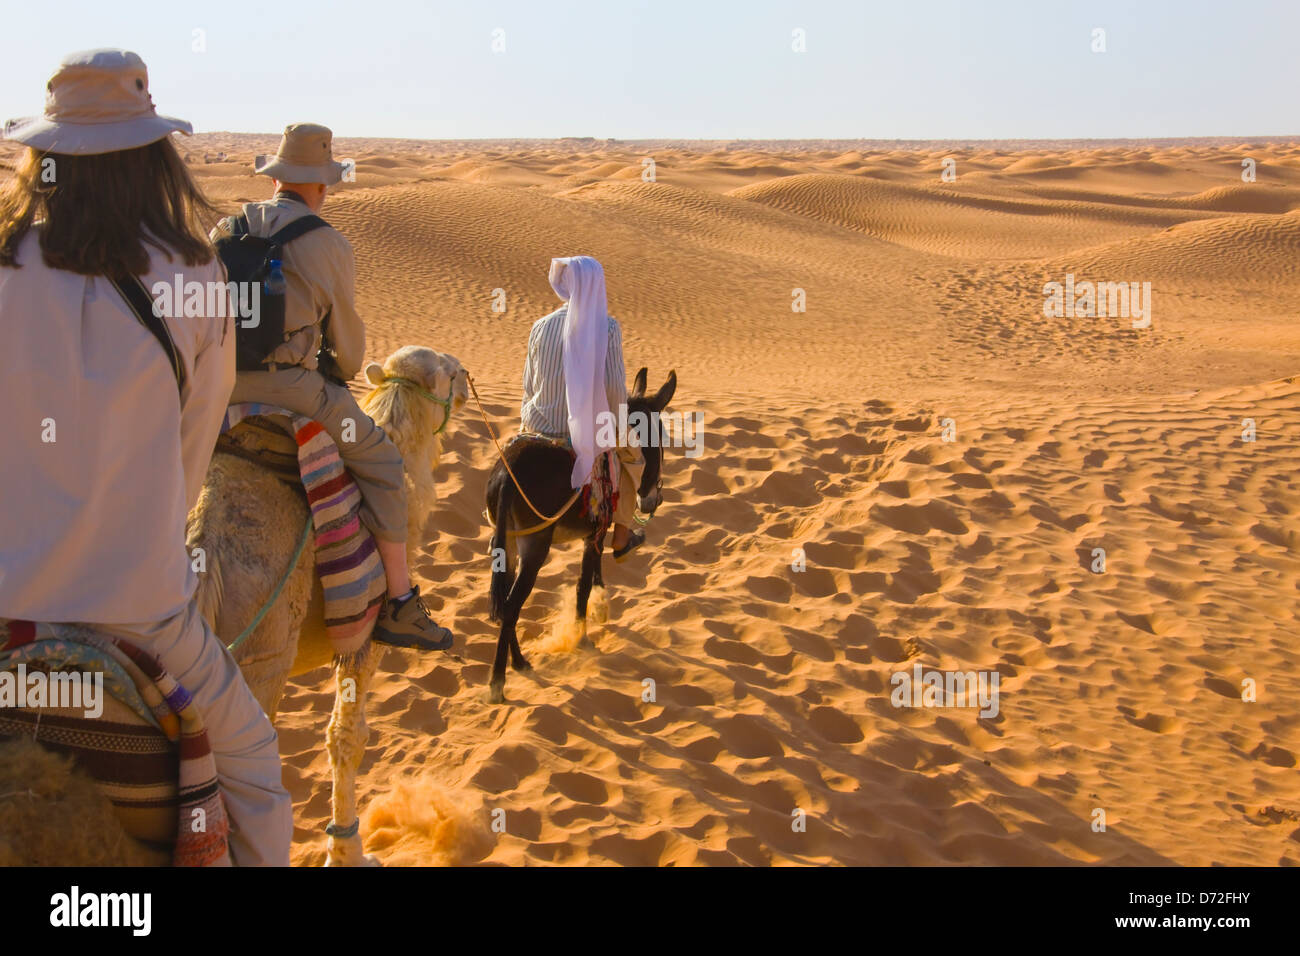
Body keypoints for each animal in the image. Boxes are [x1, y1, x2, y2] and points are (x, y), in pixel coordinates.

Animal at [0, 345, 467, 868]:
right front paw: (349, 852)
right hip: (256, 656)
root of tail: (200, 539)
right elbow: (347, 739)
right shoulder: (363, 636)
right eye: (449, 372)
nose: (468, 377)